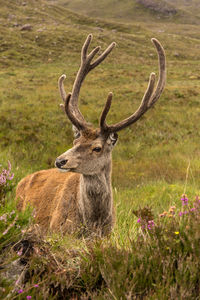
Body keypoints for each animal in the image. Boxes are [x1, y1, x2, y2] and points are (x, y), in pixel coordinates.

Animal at [15, 34, 166, 237]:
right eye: (75, 140)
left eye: (97, 148)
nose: (60, 161)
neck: (93, 222)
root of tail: (21, 182)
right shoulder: (58, 230)